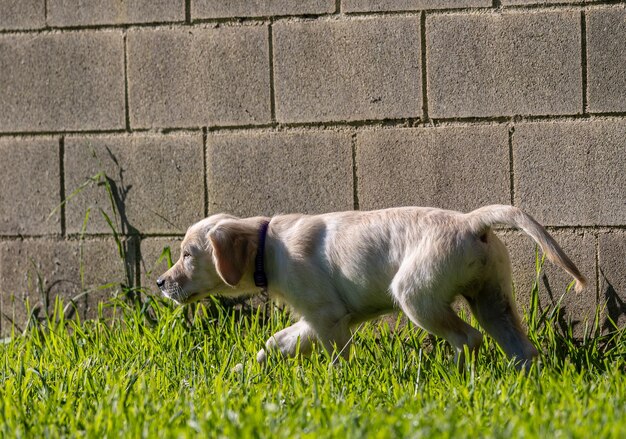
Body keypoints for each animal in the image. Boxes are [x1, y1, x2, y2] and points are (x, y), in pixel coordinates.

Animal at [156, 205, 584, 368]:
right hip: (493, 298)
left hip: (417, 297)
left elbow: (337, 358)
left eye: (188, 254)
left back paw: (451, 372)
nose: (160, 283)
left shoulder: (328, 318)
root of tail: (470, 221)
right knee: (520, 348)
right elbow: (277, 341)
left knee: (468, 338)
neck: (268, 247)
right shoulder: (315, 318)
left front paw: (335, 384)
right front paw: (243, 370)